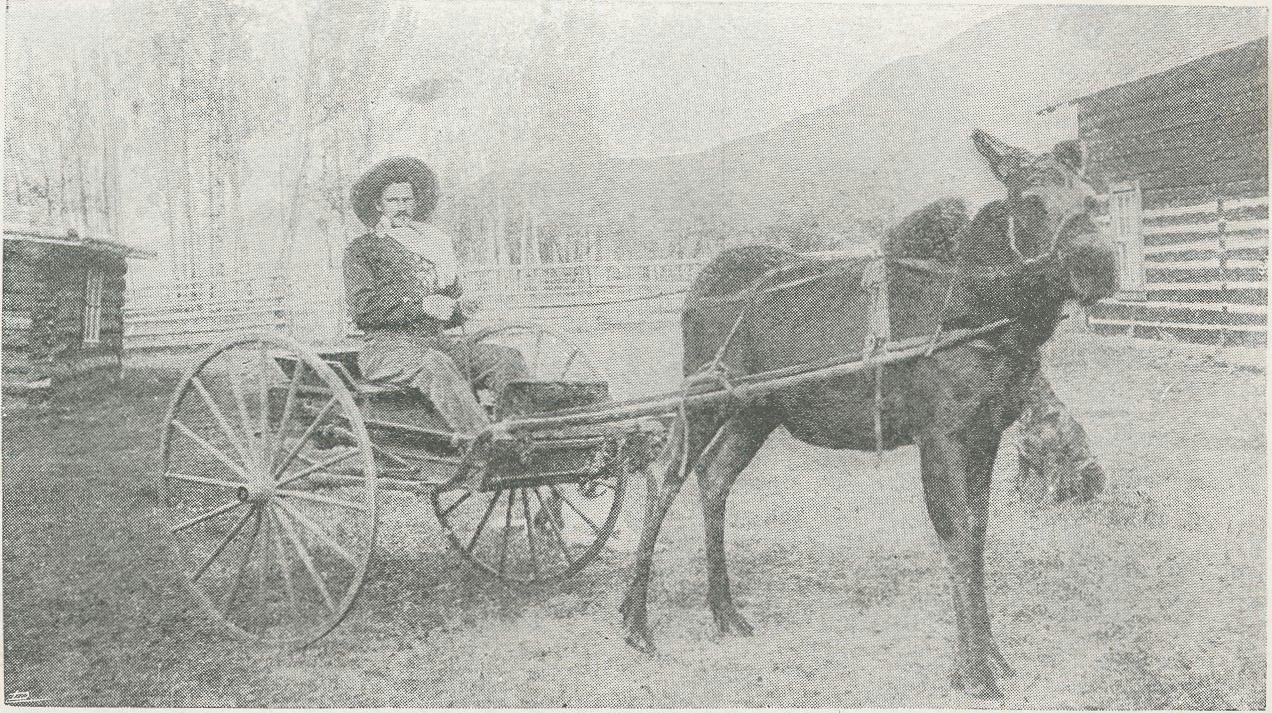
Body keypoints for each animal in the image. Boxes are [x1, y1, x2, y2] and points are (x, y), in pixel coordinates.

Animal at [620, 127, 1119, 696]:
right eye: (1031, 201)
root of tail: (691, 294)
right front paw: (973, 670)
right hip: (705, 400)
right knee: (663, 477)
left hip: (758, 411)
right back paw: (635, 622)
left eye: (1094, 198)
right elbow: (956, 534)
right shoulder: (941, 432)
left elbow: (977, 531)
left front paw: (993, 656)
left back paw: (725, 612)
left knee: (714, 474)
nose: (1101, 266)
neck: (990, 316)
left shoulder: (986, 432)